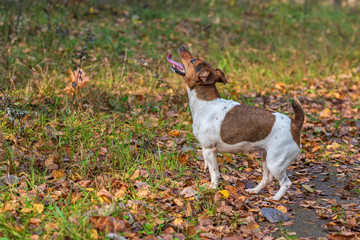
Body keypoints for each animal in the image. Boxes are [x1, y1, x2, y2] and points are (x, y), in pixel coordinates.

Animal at [167, 46, 306, 200]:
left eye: (192, 60)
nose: (182, 47)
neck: (206, 102)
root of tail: (295, 124)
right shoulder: (207, 151)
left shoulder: (209, 150)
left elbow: (214, 172)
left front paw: (212, 187)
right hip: (266, 157)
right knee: (267, 178)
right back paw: (255, 190)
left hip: (275, 163)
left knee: (286, 183)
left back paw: (275, 198)